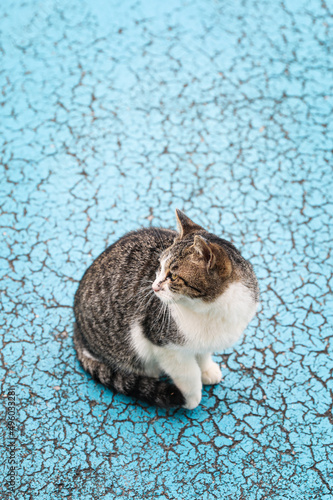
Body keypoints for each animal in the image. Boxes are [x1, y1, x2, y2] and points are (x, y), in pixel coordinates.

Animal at [73, 209, 260, 408]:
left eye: (173, 276)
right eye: (159, 266)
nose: (154, 286)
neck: (210, 310)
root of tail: (77, 325)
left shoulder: (204, 339)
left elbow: (203, 354)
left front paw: (207, 369)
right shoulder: (163, 346)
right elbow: (188, 373)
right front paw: (191, 398)